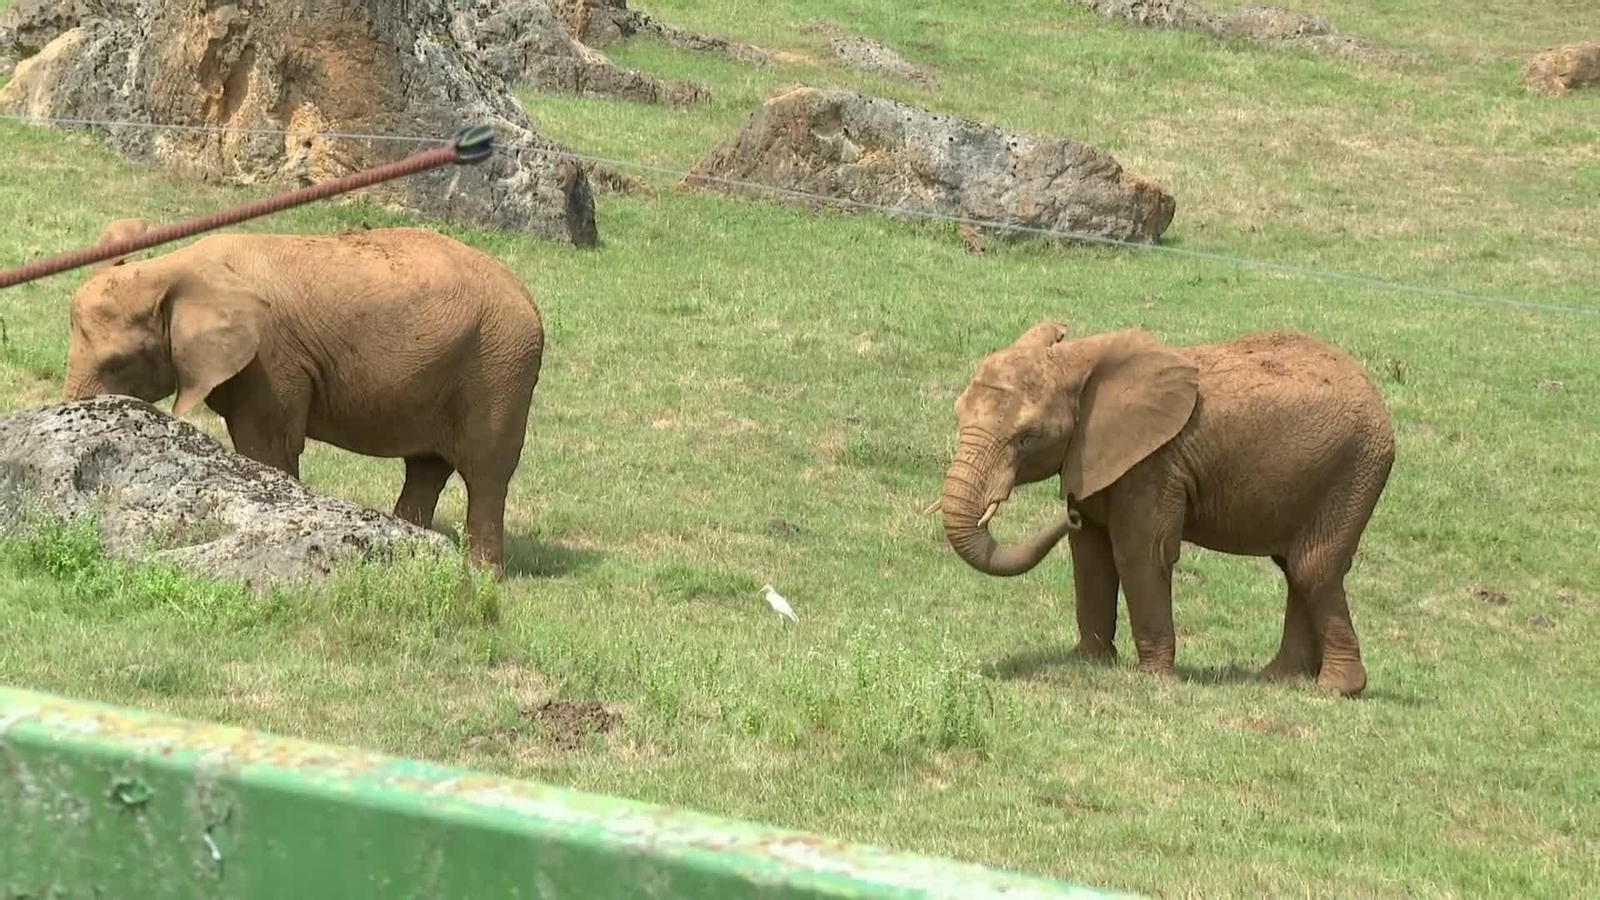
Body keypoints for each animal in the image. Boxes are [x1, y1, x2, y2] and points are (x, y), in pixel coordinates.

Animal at [62, 219, 546, 578]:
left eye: (119, 363)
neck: (175, 268)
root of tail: (528, 295)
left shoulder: (272, 358)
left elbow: (268, 445)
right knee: (426, 468)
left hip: (500, 368)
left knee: (485, 473)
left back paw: (482, 578)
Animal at [928, 322, 1395, 697]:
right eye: (958, 416)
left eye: (1028, 437)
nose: (1067, 514)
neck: (1077, 361)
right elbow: (1090, 553)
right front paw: (1089, 663)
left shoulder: (1153, 464)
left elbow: (1139, 553)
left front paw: (1151, 678)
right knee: (1296, 568)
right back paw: (1278, 679)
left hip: (1353, 469)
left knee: (1312, 568)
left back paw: (1335, 690)